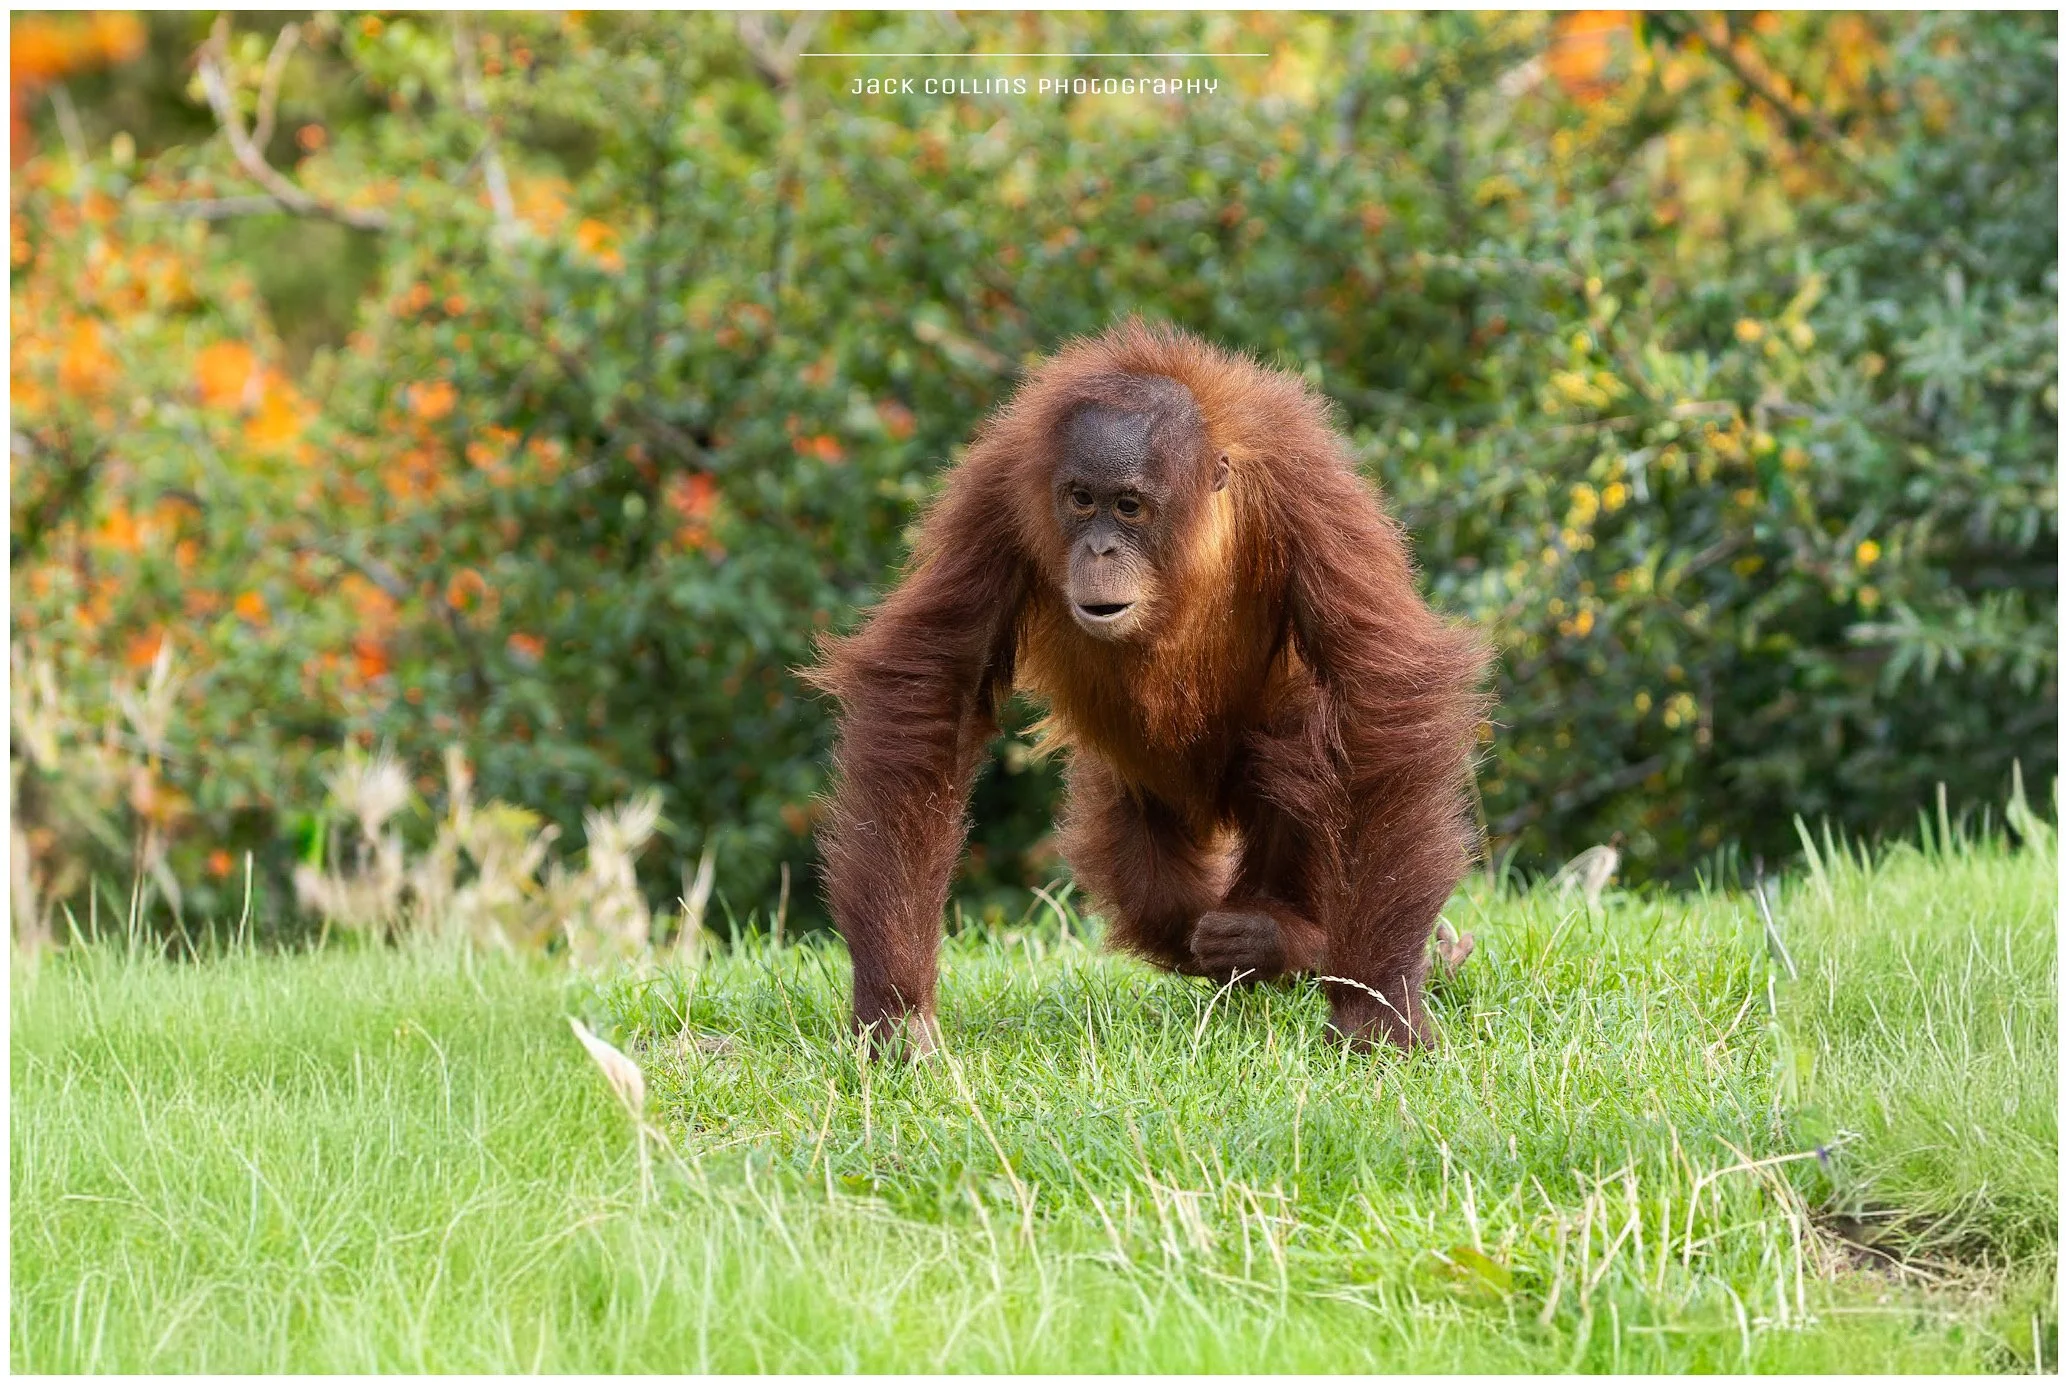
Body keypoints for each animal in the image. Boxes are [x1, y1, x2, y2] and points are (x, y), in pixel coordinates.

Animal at [808, 320, 1492, 1055]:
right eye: (1082, 500)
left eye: (1129, 507)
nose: (1100, 549)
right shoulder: (995, 492)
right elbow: (933, 682)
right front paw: (898, 1017)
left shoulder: (1309, 492)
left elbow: (1380, 690)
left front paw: (1377, 1012)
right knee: (1158, 901)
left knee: (1296, 740)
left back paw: (1284, 941)